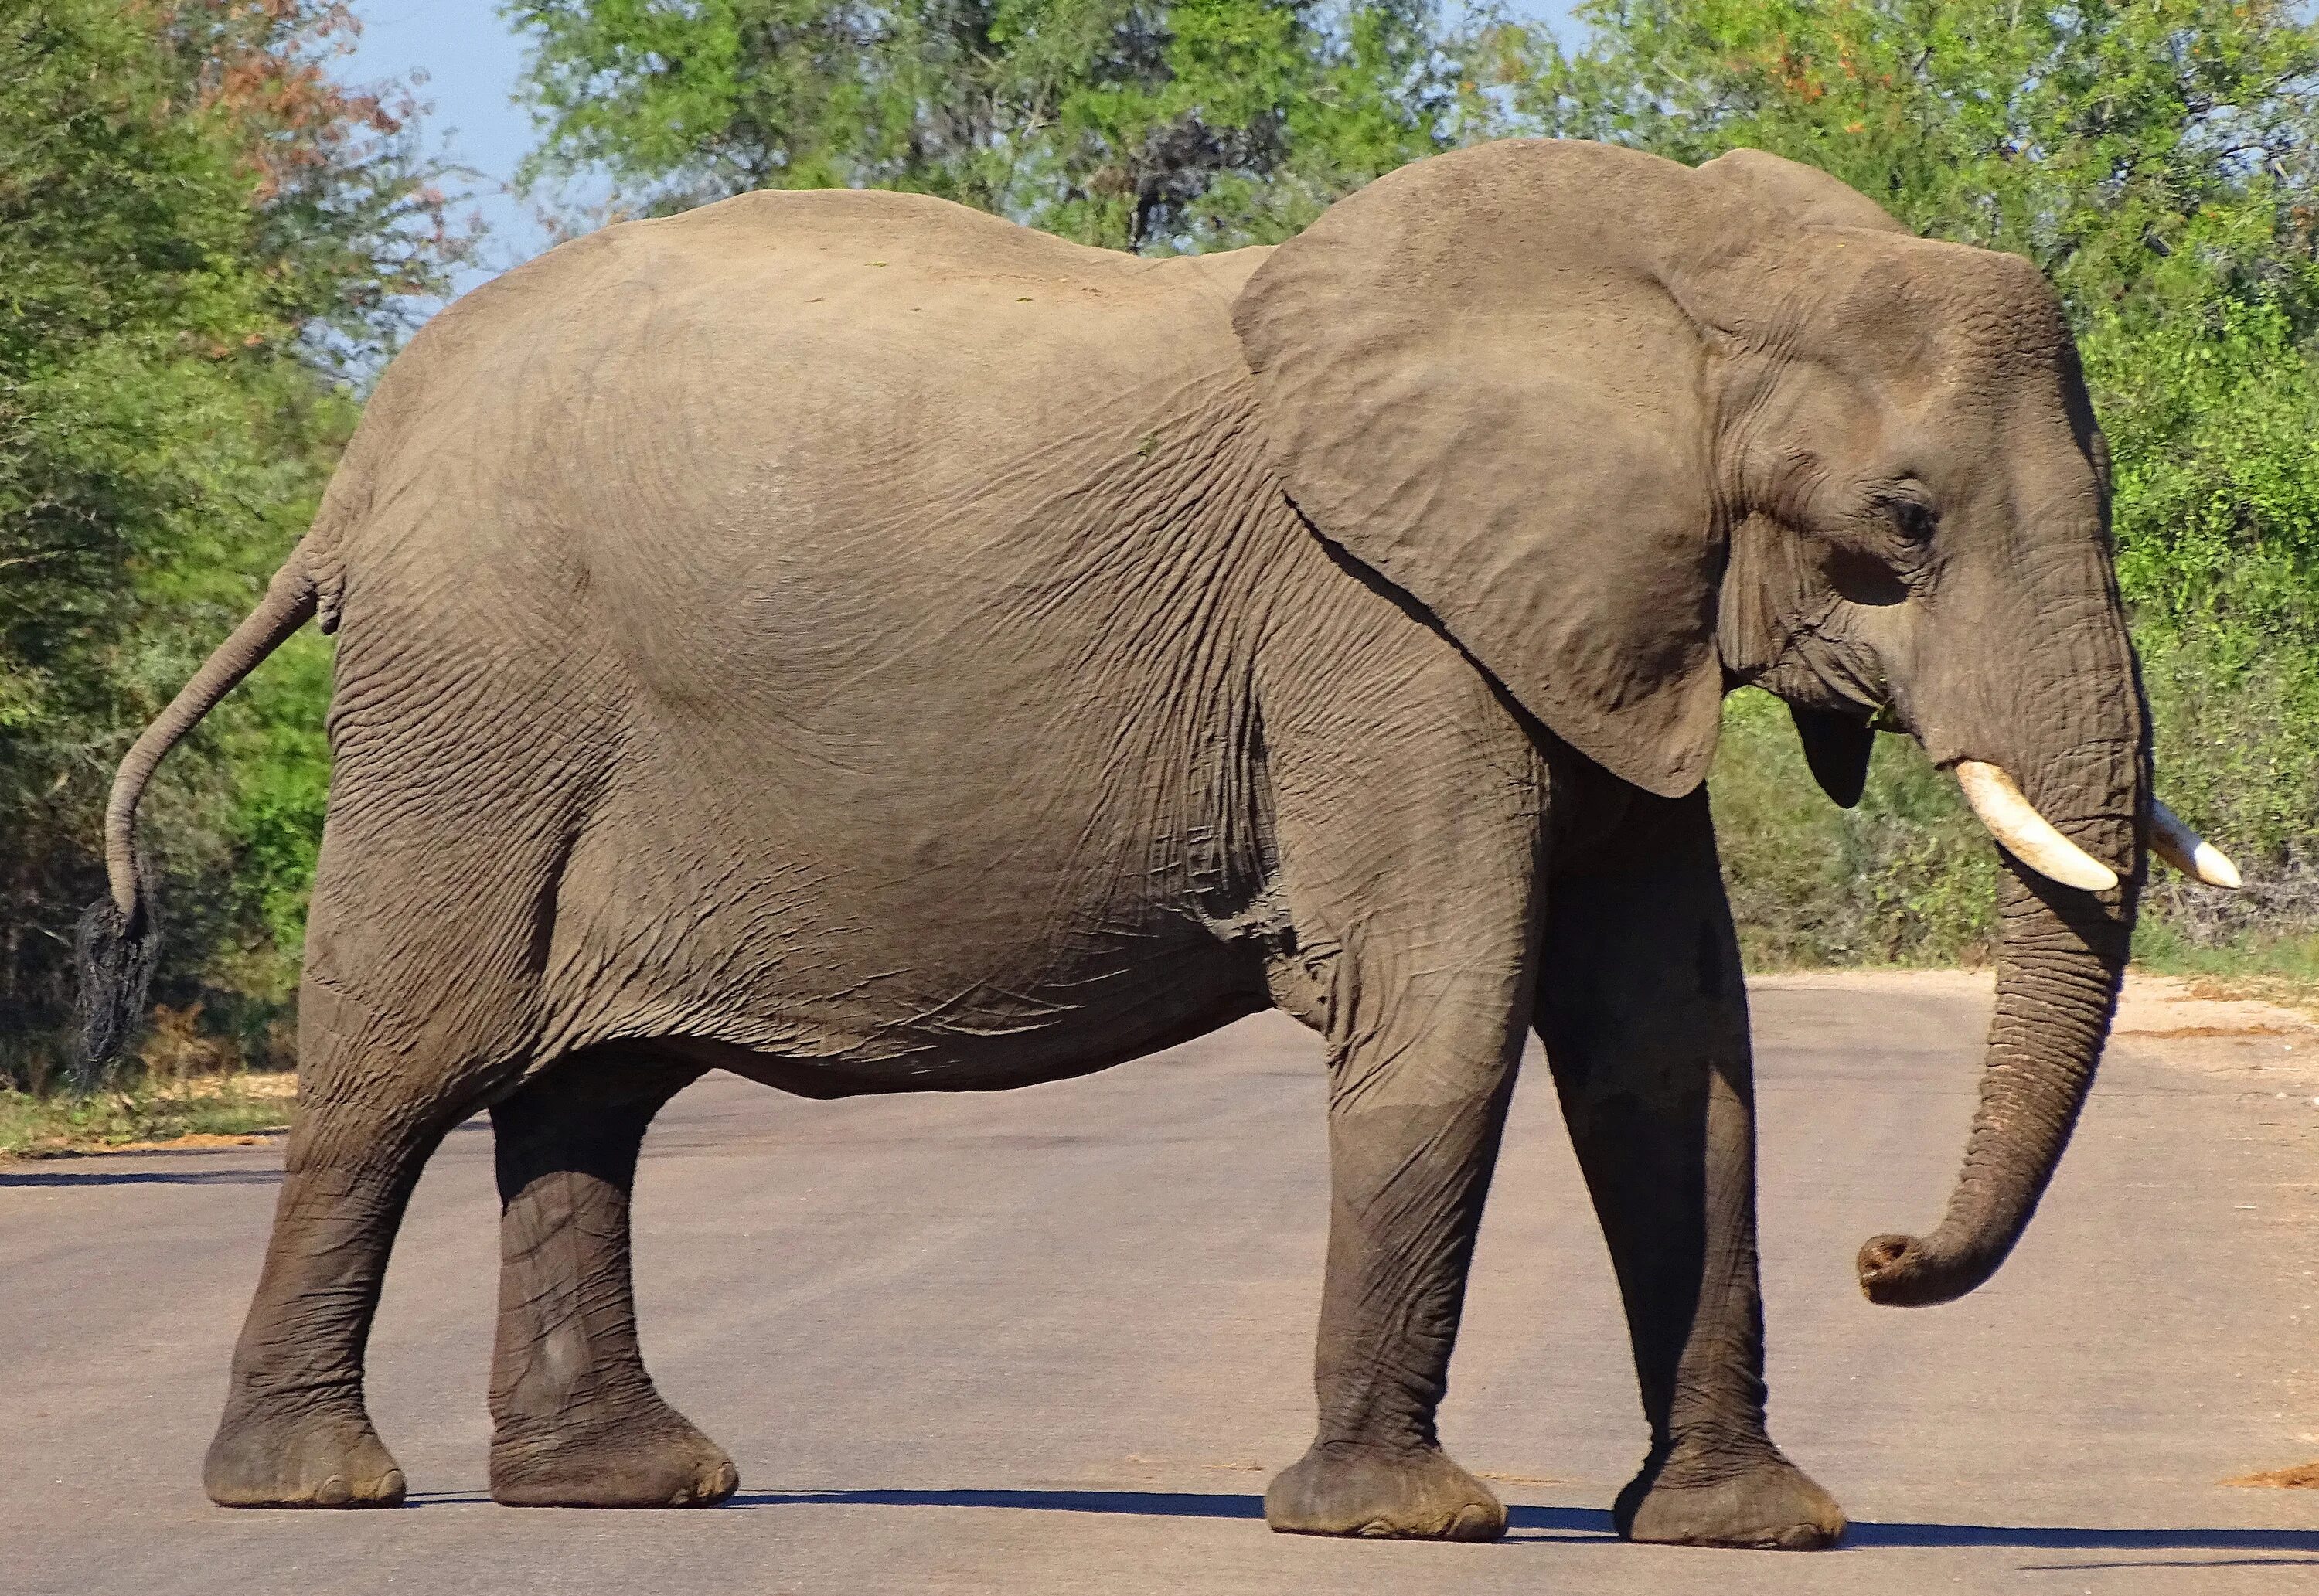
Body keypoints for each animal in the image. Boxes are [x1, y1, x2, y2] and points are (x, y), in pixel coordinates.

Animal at [81, 140, 2236, 1549]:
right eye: (1905, 519)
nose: (1888, 1257)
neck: (1684, 265)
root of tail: (361, 458)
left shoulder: (1591, 616)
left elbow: (1670, 1045)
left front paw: (1743, 1526)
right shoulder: (1381, 623)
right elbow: (1445, 1003)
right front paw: (1391, 1520)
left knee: (586, 1093)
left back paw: (629, 1488)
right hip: (477, 700)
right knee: (402, 1059)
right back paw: (313, 1489)